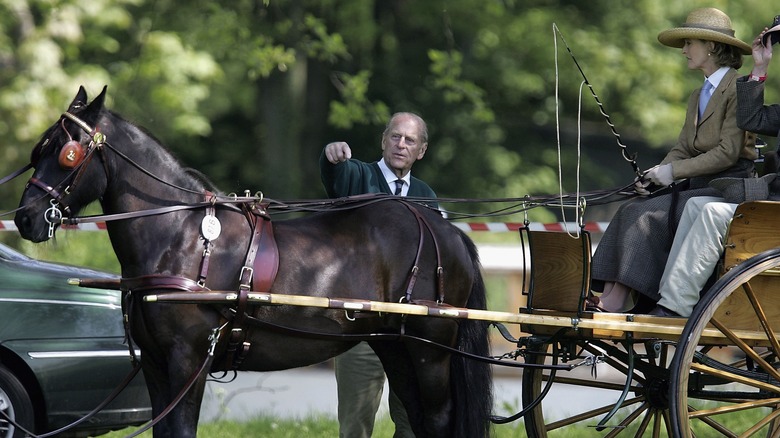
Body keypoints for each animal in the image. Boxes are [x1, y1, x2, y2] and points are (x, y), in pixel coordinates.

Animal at [13, 86, 494, 438]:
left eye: (67, 152)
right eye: (41, 148)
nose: (25, 218)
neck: (181, 237)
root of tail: (441, 225)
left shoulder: (188, 360)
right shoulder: (154, 363)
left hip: (431, 351)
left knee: (437, 420)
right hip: (397, 348)